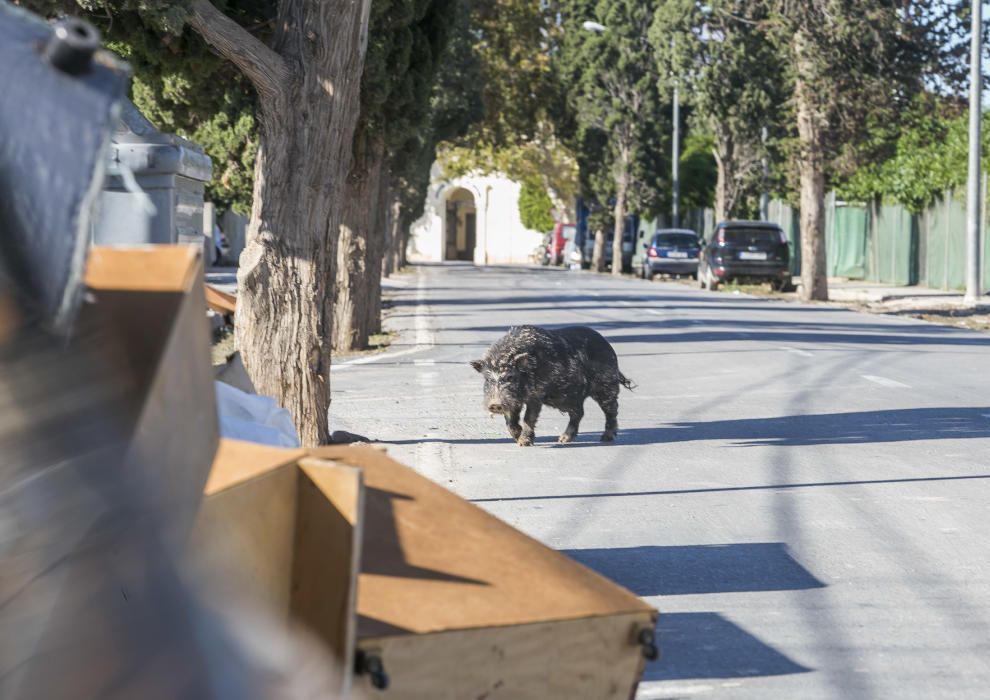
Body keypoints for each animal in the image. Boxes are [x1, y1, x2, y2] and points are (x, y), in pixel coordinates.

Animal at [472, 326, 636, 446]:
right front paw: (518, 438)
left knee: (611, 410)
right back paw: (563, 440)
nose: (495, 404)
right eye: (488, 379)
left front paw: (524, 442)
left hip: (606, 387)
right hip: (571, 398)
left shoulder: (536, 396)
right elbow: (510, 421)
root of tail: (607, 344)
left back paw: (605, 438)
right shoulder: (514, 401)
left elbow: (528, 418)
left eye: (510, 377)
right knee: (579, 413)